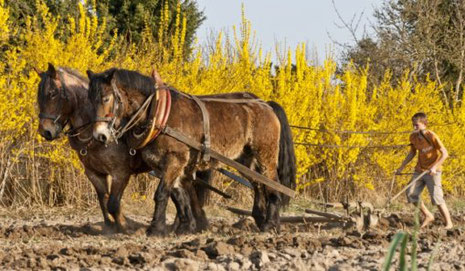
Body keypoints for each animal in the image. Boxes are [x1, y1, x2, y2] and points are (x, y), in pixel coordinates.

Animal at [35, 63, 211, 234]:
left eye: (52, 94)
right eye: (39, 96)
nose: (45, 132)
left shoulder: (120, 172)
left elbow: (113, 203)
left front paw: (126, 227)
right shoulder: (94, 173)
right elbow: (103, 200)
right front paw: (110, 227)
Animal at [85, 67, 296, 234]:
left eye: (106, 98)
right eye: (90, 101)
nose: (100, 136)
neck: (158, 113)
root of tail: (265, 104)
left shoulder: (174, 160)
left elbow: (162, 193)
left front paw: (156, 229)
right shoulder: (165, 164)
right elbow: (178, 195)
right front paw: (187, 227)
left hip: (265, 154)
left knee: (272, 183)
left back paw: (270, 224)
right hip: (246, 158)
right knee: (258, 184)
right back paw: (262, 220)